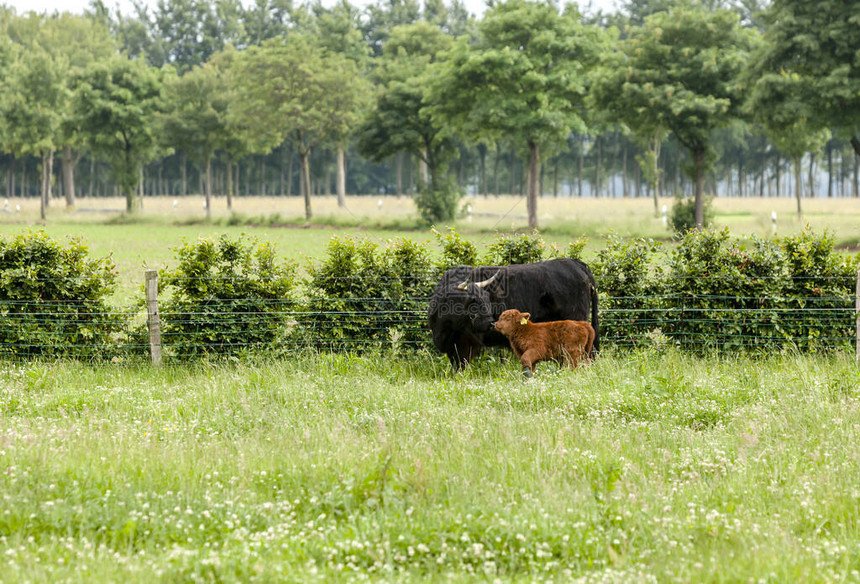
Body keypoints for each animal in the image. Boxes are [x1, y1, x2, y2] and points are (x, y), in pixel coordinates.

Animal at [428, 258, 600, 370]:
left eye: (486, 298)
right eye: (472, 301)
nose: (490, 322)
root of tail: (574, 263)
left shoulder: (468, 343)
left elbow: (461, 366)